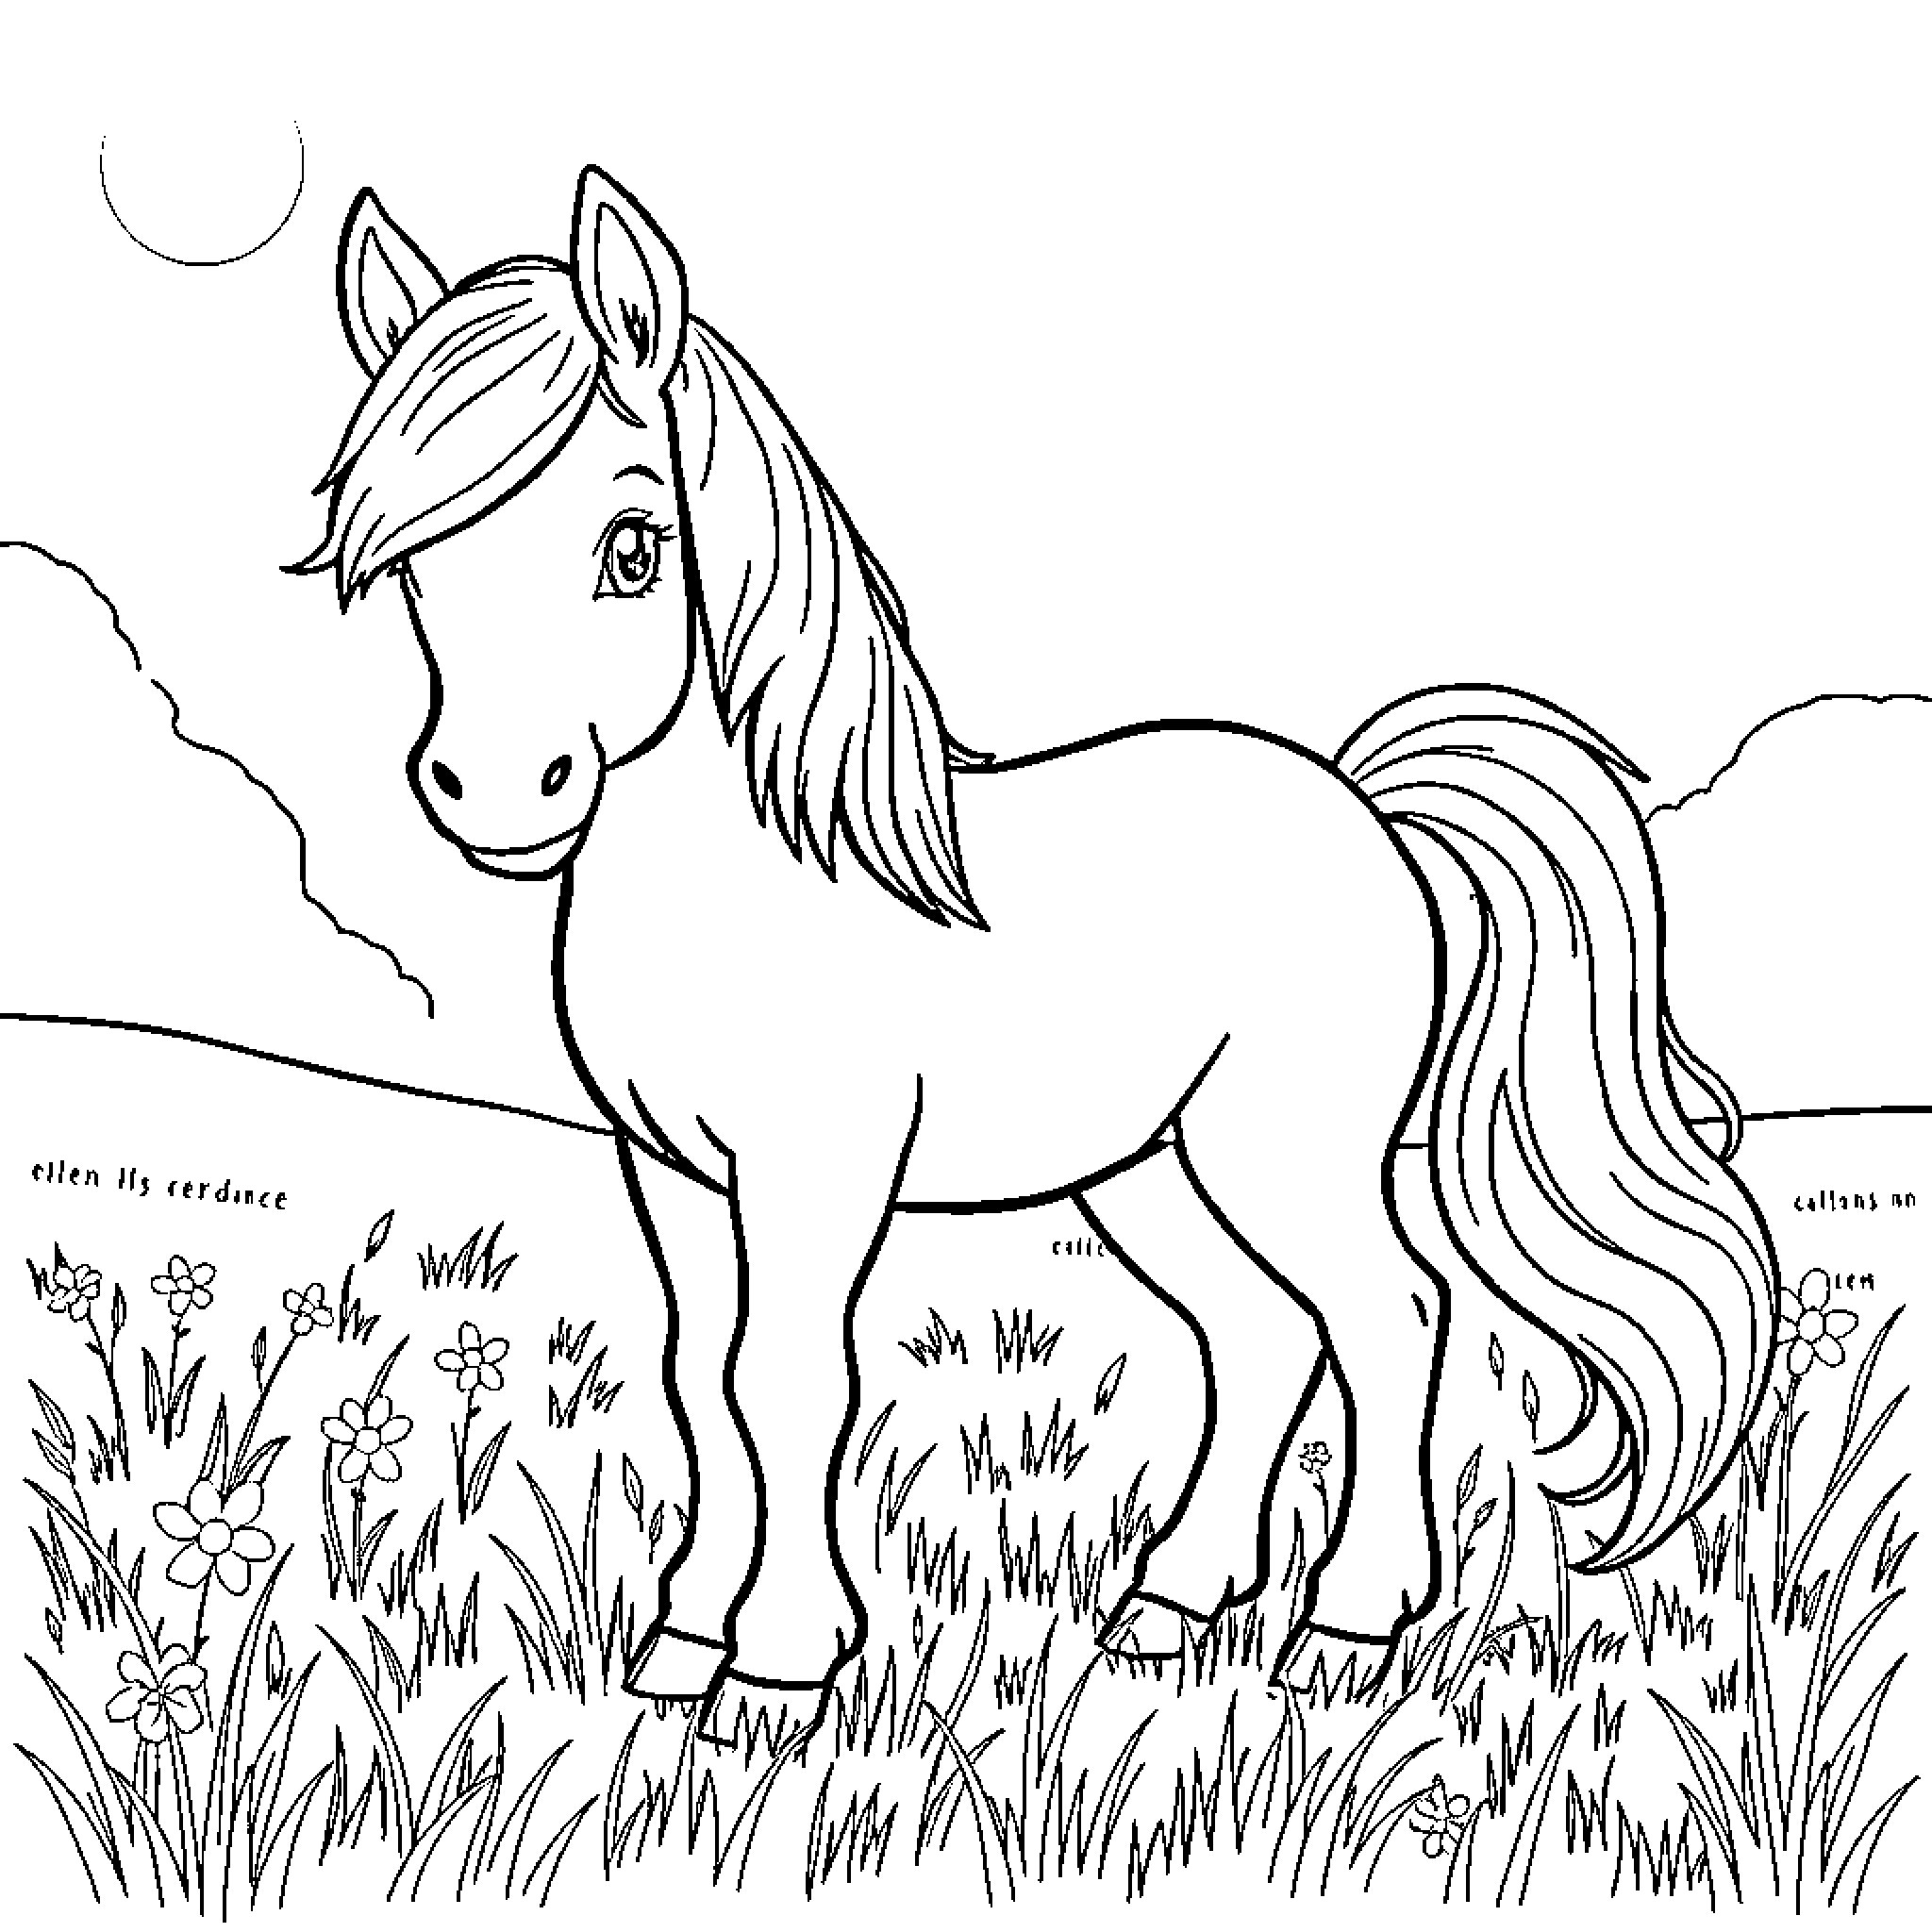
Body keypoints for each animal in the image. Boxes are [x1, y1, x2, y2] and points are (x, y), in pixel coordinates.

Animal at [297, 164, 1778, 1748]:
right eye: (418, 568)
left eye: (633, 549)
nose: (495, 792)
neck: (756, 879)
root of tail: (1369, 813)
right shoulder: (677, 1171)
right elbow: (699, 1377)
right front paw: (680, 1646)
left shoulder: (819, 1170)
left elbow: (787, 1379)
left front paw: (777, 1673)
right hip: (1152, 1169)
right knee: (1261, 1332)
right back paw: (1168, 1606)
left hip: (1279, 1154)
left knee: (1393, 1314)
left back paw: (1344, 1633)